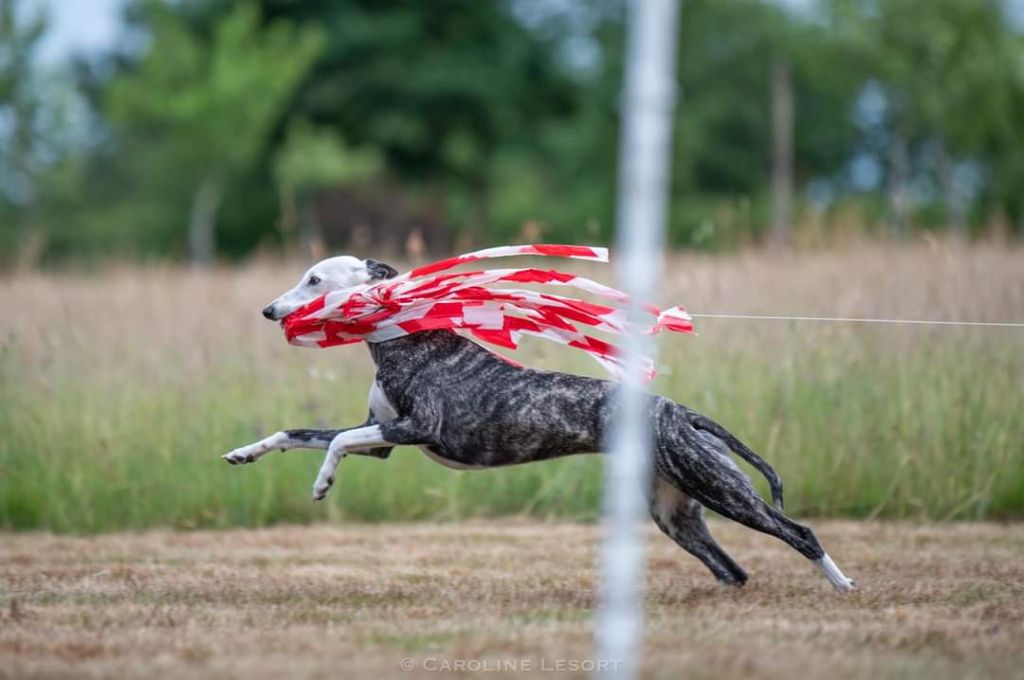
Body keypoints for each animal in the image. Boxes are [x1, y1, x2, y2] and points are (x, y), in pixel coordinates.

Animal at [224, 255, 856, 589]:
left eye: (314, 280)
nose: (269, 311)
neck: (402, 338)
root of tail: (681, 411)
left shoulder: (418, 429)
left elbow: (337, 446)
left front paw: (322, 483)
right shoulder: (382, 440)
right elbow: (297, 434)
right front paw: (244, 453)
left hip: (722, 489)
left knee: (798, 532)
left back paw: (841, 583)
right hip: (676, 511)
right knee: (732, 570)